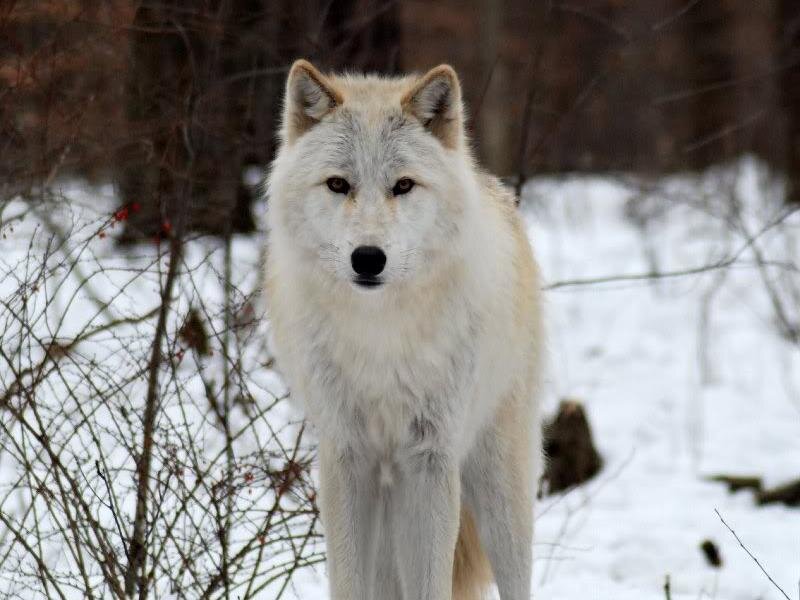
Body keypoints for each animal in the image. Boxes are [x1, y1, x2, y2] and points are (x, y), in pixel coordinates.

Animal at [264, 59, 544, 600]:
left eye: (403, 185)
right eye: (338, 185)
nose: (368, 258)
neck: (381, 336)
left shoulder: (429, 459)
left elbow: (432, 583)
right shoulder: (347, 457)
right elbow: (348, 582)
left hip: (498, 485)